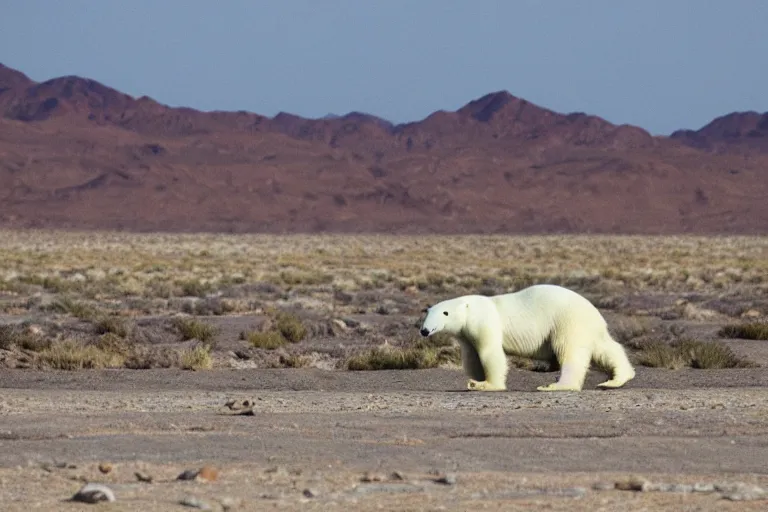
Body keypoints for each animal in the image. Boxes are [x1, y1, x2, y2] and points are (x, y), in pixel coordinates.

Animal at [420, 284, 636, 392]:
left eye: (445, 313)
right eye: (427, 312)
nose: (424, 330)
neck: (471, 308)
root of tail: (595, 312)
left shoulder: (485, 322)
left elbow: (490, 353)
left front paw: (486, 385)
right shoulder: (466, 334)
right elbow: (472, 357)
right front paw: (475, 380)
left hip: (566, 321)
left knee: (569, 352)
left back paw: (554, 386)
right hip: (589, 328)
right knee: (607, 349)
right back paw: (616, 379)